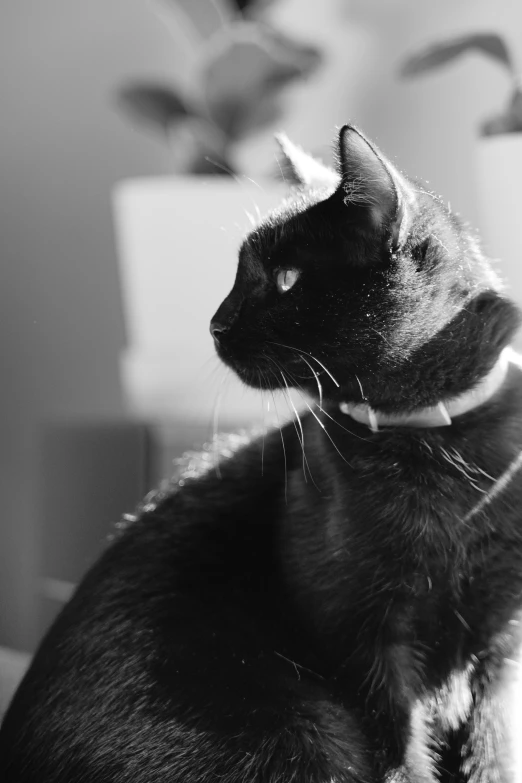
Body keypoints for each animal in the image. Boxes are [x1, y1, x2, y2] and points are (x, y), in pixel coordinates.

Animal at [1, 125, 520, 780]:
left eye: (286, 279)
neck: (434, 446)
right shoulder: (364, 641)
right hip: (309, 732)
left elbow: (493, 753)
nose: (215, 324)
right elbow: (400, 756)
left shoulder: (497, 645)